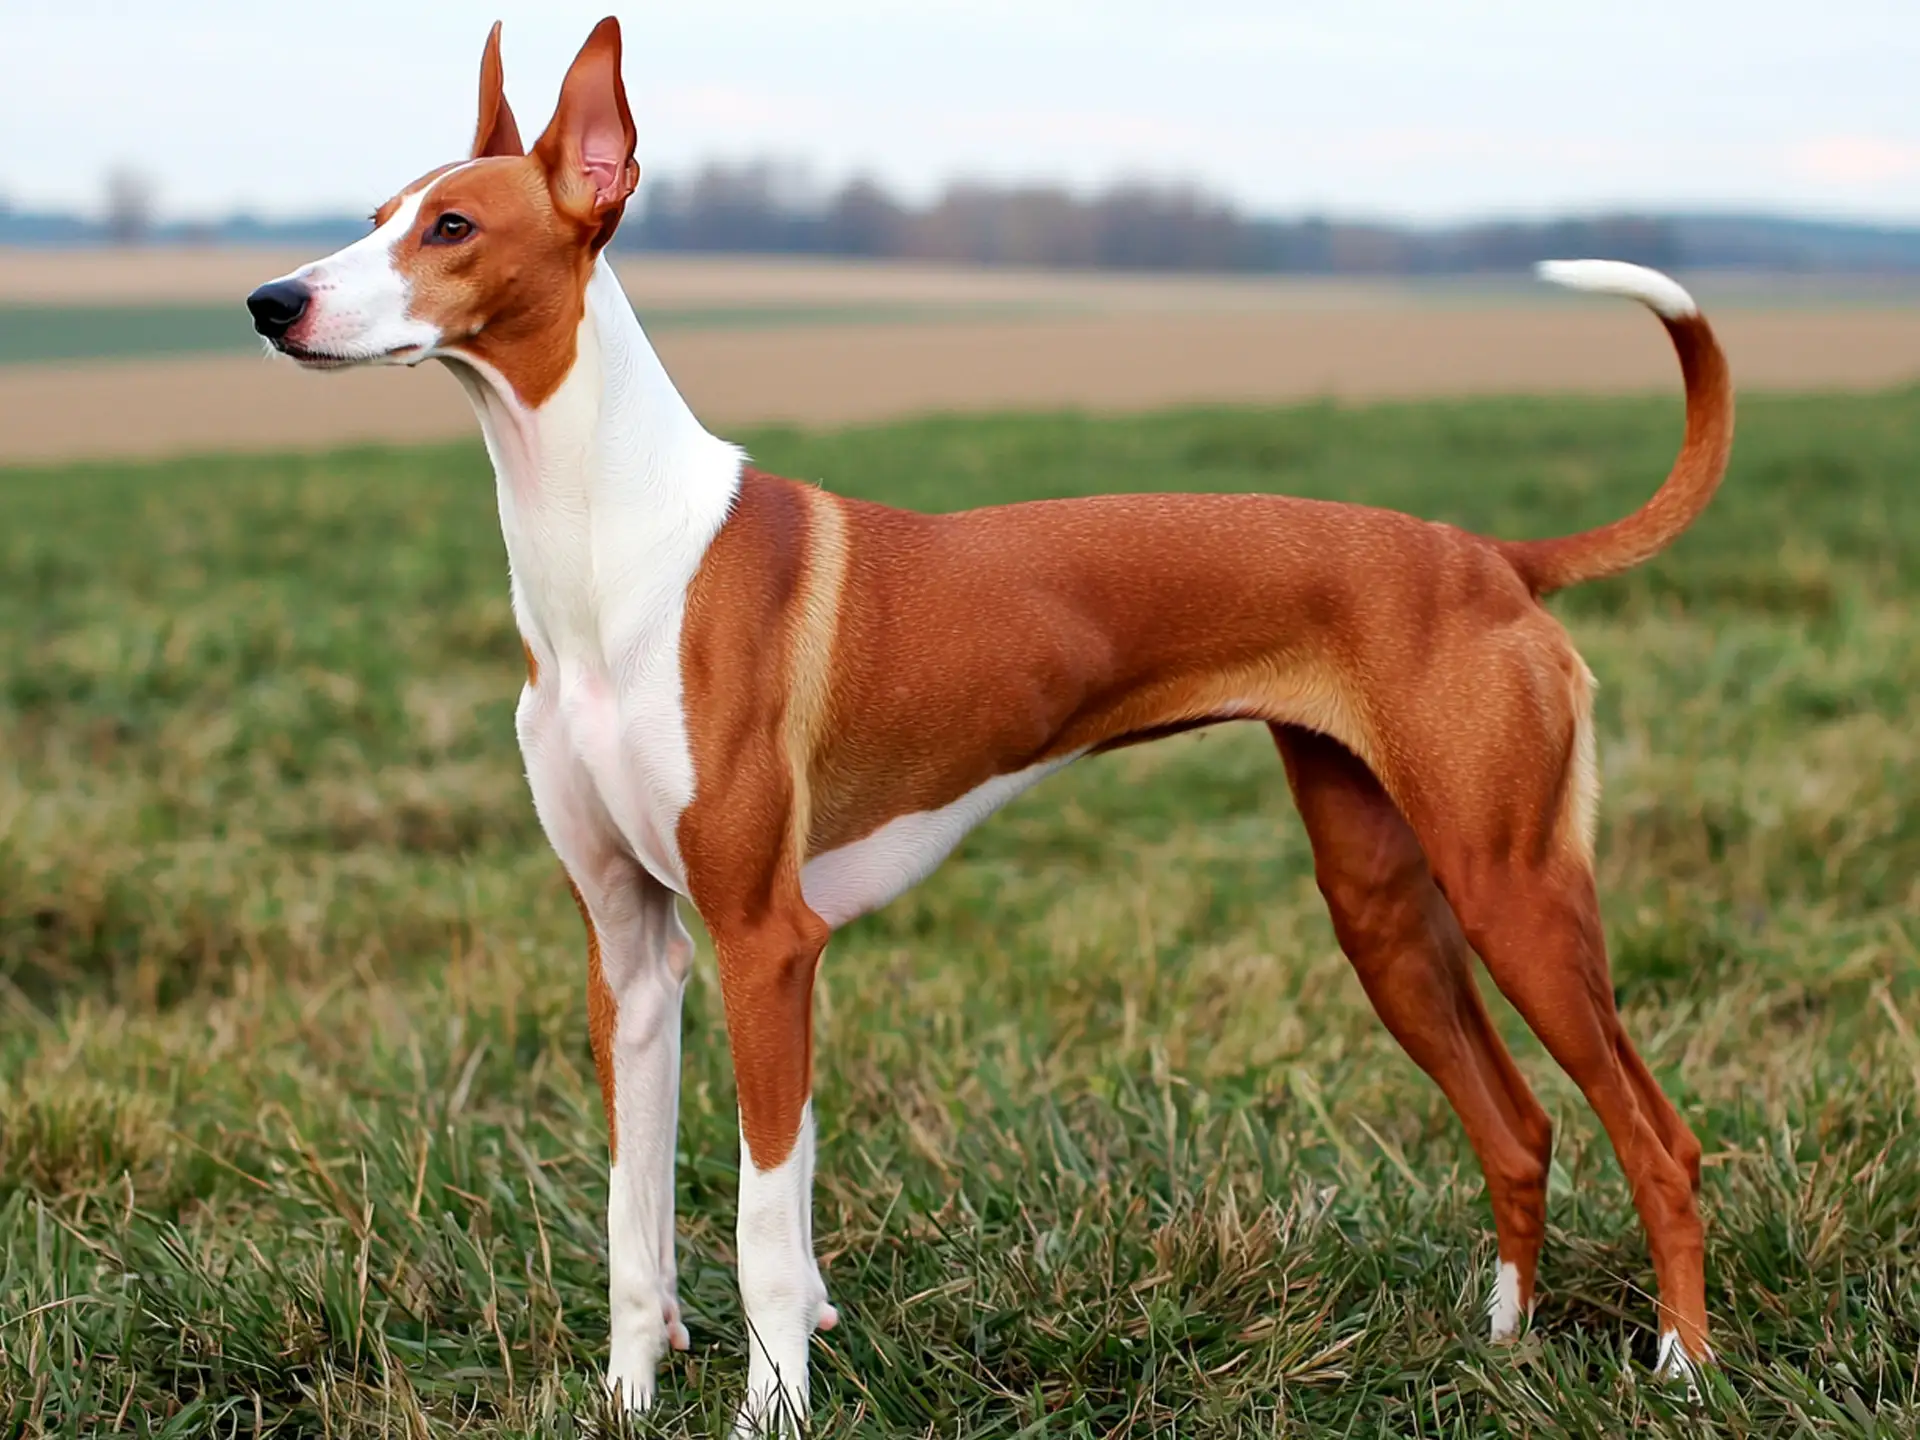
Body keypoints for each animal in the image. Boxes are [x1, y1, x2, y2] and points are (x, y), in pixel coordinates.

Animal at [247, 16, 1735, 1436]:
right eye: (377, 211)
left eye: (452, 226)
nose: (270, 301)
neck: (612, 553)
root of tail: (1494, 557)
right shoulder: (632, 950)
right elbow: (634, 1224)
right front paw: (623, 1402)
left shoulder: (766, 944)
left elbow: (765, 1227)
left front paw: (773, 1414)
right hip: (1386, 907)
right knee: (1521, 1126)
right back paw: (1505, 1342)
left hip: (1513, 887)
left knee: (1659, 1138)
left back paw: (1682, 1371)